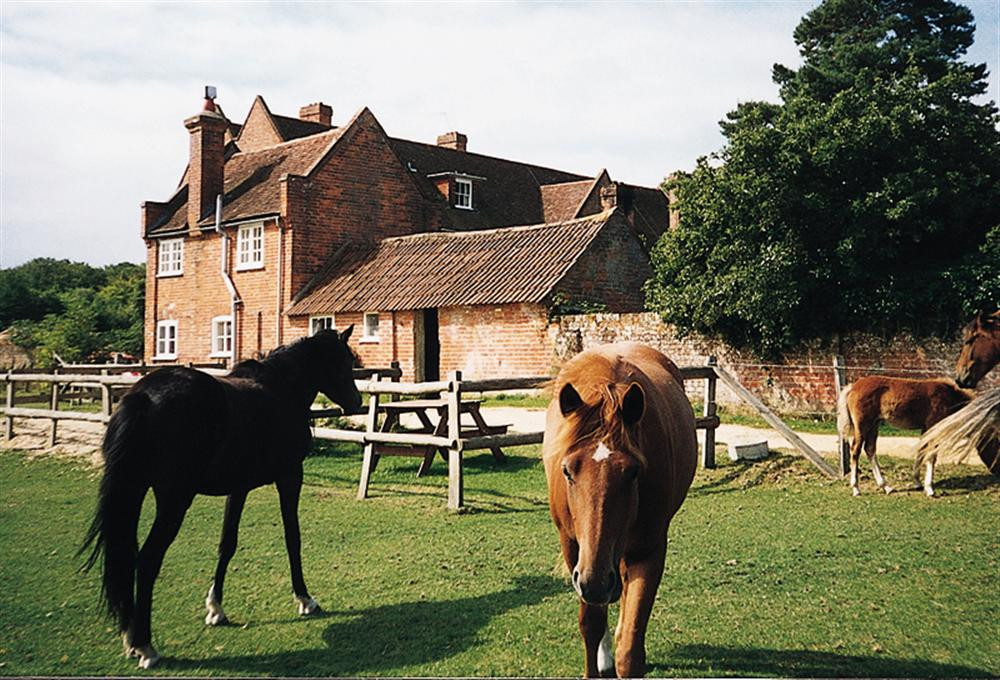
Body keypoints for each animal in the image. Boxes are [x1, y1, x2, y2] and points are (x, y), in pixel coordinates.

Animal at [79, 328, 362, 669]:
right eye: (345, 362)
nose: (357, 402)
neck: (281, 389)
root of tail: (143, 397)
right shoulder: (290, 476)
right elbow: (292, 538)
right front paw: (305, 599)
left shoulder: (238, 488)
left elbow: (227, 543)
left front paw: (216, 607)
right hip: (174, 501)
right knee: (147, 561)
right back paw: (145, 645)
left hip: (134, 493)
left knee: (126, 558)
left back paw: (130, 636)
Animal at [543, 342, 697, 678]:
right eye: (567, 471)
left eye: (633, 472)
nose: (596, 582)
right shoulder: (575, 552)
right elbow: (591, 624)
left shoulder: (648, 552)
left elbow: (630, 645)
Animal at [837, 376, 974, 496]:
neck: (949, 396)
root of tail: (853, 387)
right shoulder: (933, 425)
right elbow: (931, 455)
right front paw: (929, 488)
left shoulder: (925, 428)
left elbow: (921, 450)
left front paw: (918, 482)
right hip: (862, 425)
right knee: (856, 450)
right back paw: (856, 489)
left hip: (874, 425)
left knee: (869, 449)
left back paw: (886, 487)